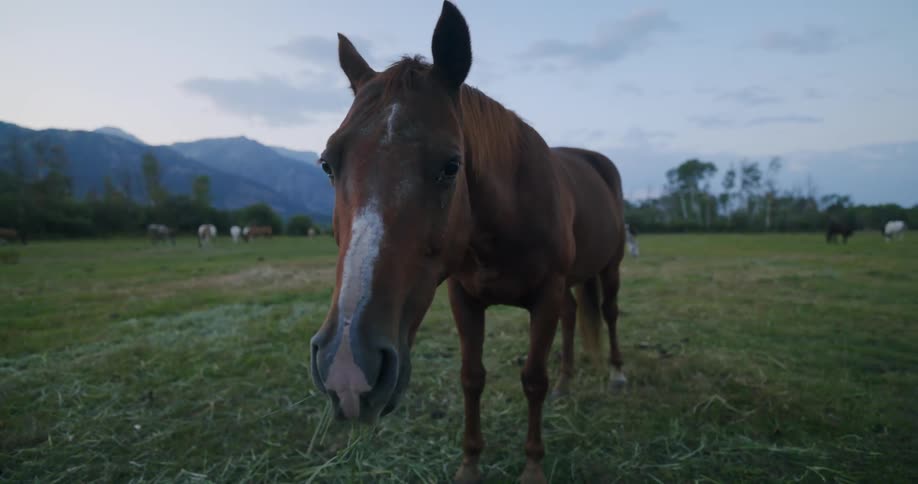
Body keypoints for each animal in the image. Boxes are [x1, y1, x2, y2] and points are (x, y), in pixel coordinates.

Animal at [308, 3, 627, 482]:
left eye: (451, 165)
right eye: (328, 164)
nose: (347, 366)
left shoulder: (546, 295)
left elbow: (532, 379)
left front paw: (533, 466)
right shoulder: (465, 298)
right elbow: (471, 377)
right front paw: (470, 464)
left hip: (610, 267)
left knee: (607, 313)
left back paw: (616, 376)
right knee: (574, 317)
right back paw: (567, 383)